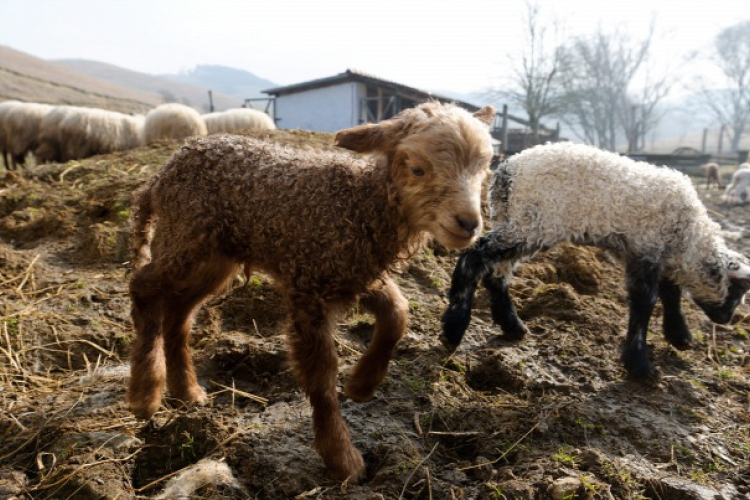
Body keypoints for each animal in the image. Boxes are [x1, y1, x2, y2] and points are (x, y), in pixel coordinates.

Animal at [126, 101, 496, 480]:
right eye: (418, 169)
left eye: (484, 169)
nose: (469, 224)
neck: (358, 204)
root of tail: (162, 173)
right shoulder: (309, 286)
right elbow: (320, 373)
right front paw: (342, 458)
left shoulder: (354, 274)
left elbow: (398, 314)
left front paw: (362, 384)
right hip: (186, 238)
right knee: (143, 288)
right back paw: (146, 392)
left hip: (213, 257)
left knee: (178, 313)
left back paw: (187, 391)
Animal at [440, 141, 750, 378]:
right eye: (737, 291)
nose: (726, 319)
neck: (688, 235)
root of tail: (507, 171)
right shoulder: (646, 248)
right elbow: (646, 302)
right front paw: (641, 366)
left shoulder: (657, 253)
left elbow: (670, 293)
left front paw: (679, 337)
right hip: (533, 222)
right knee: (475, 255)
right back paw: (454, 327)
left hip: (512, 217)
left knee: (497, 272)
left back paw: (512, 325)